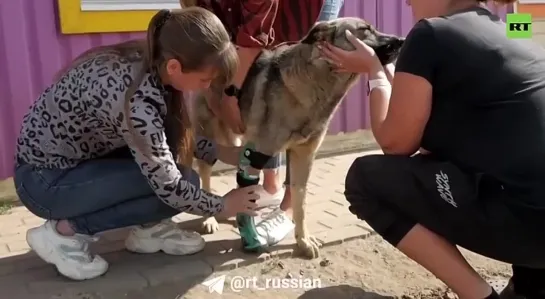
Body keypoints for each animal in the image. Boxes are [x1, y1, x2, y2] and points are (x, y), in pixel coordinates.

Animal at [193, 17, 402, 260]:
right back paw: (209, 219)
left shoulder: (303, 156)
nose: (402, 40)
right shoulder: (258, 152)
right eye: (365, 30)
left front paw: (303, 241)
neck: (316, 79)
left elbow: (300, 203)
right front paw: (250, 239)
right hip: (213, 136)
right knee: (206, 176)